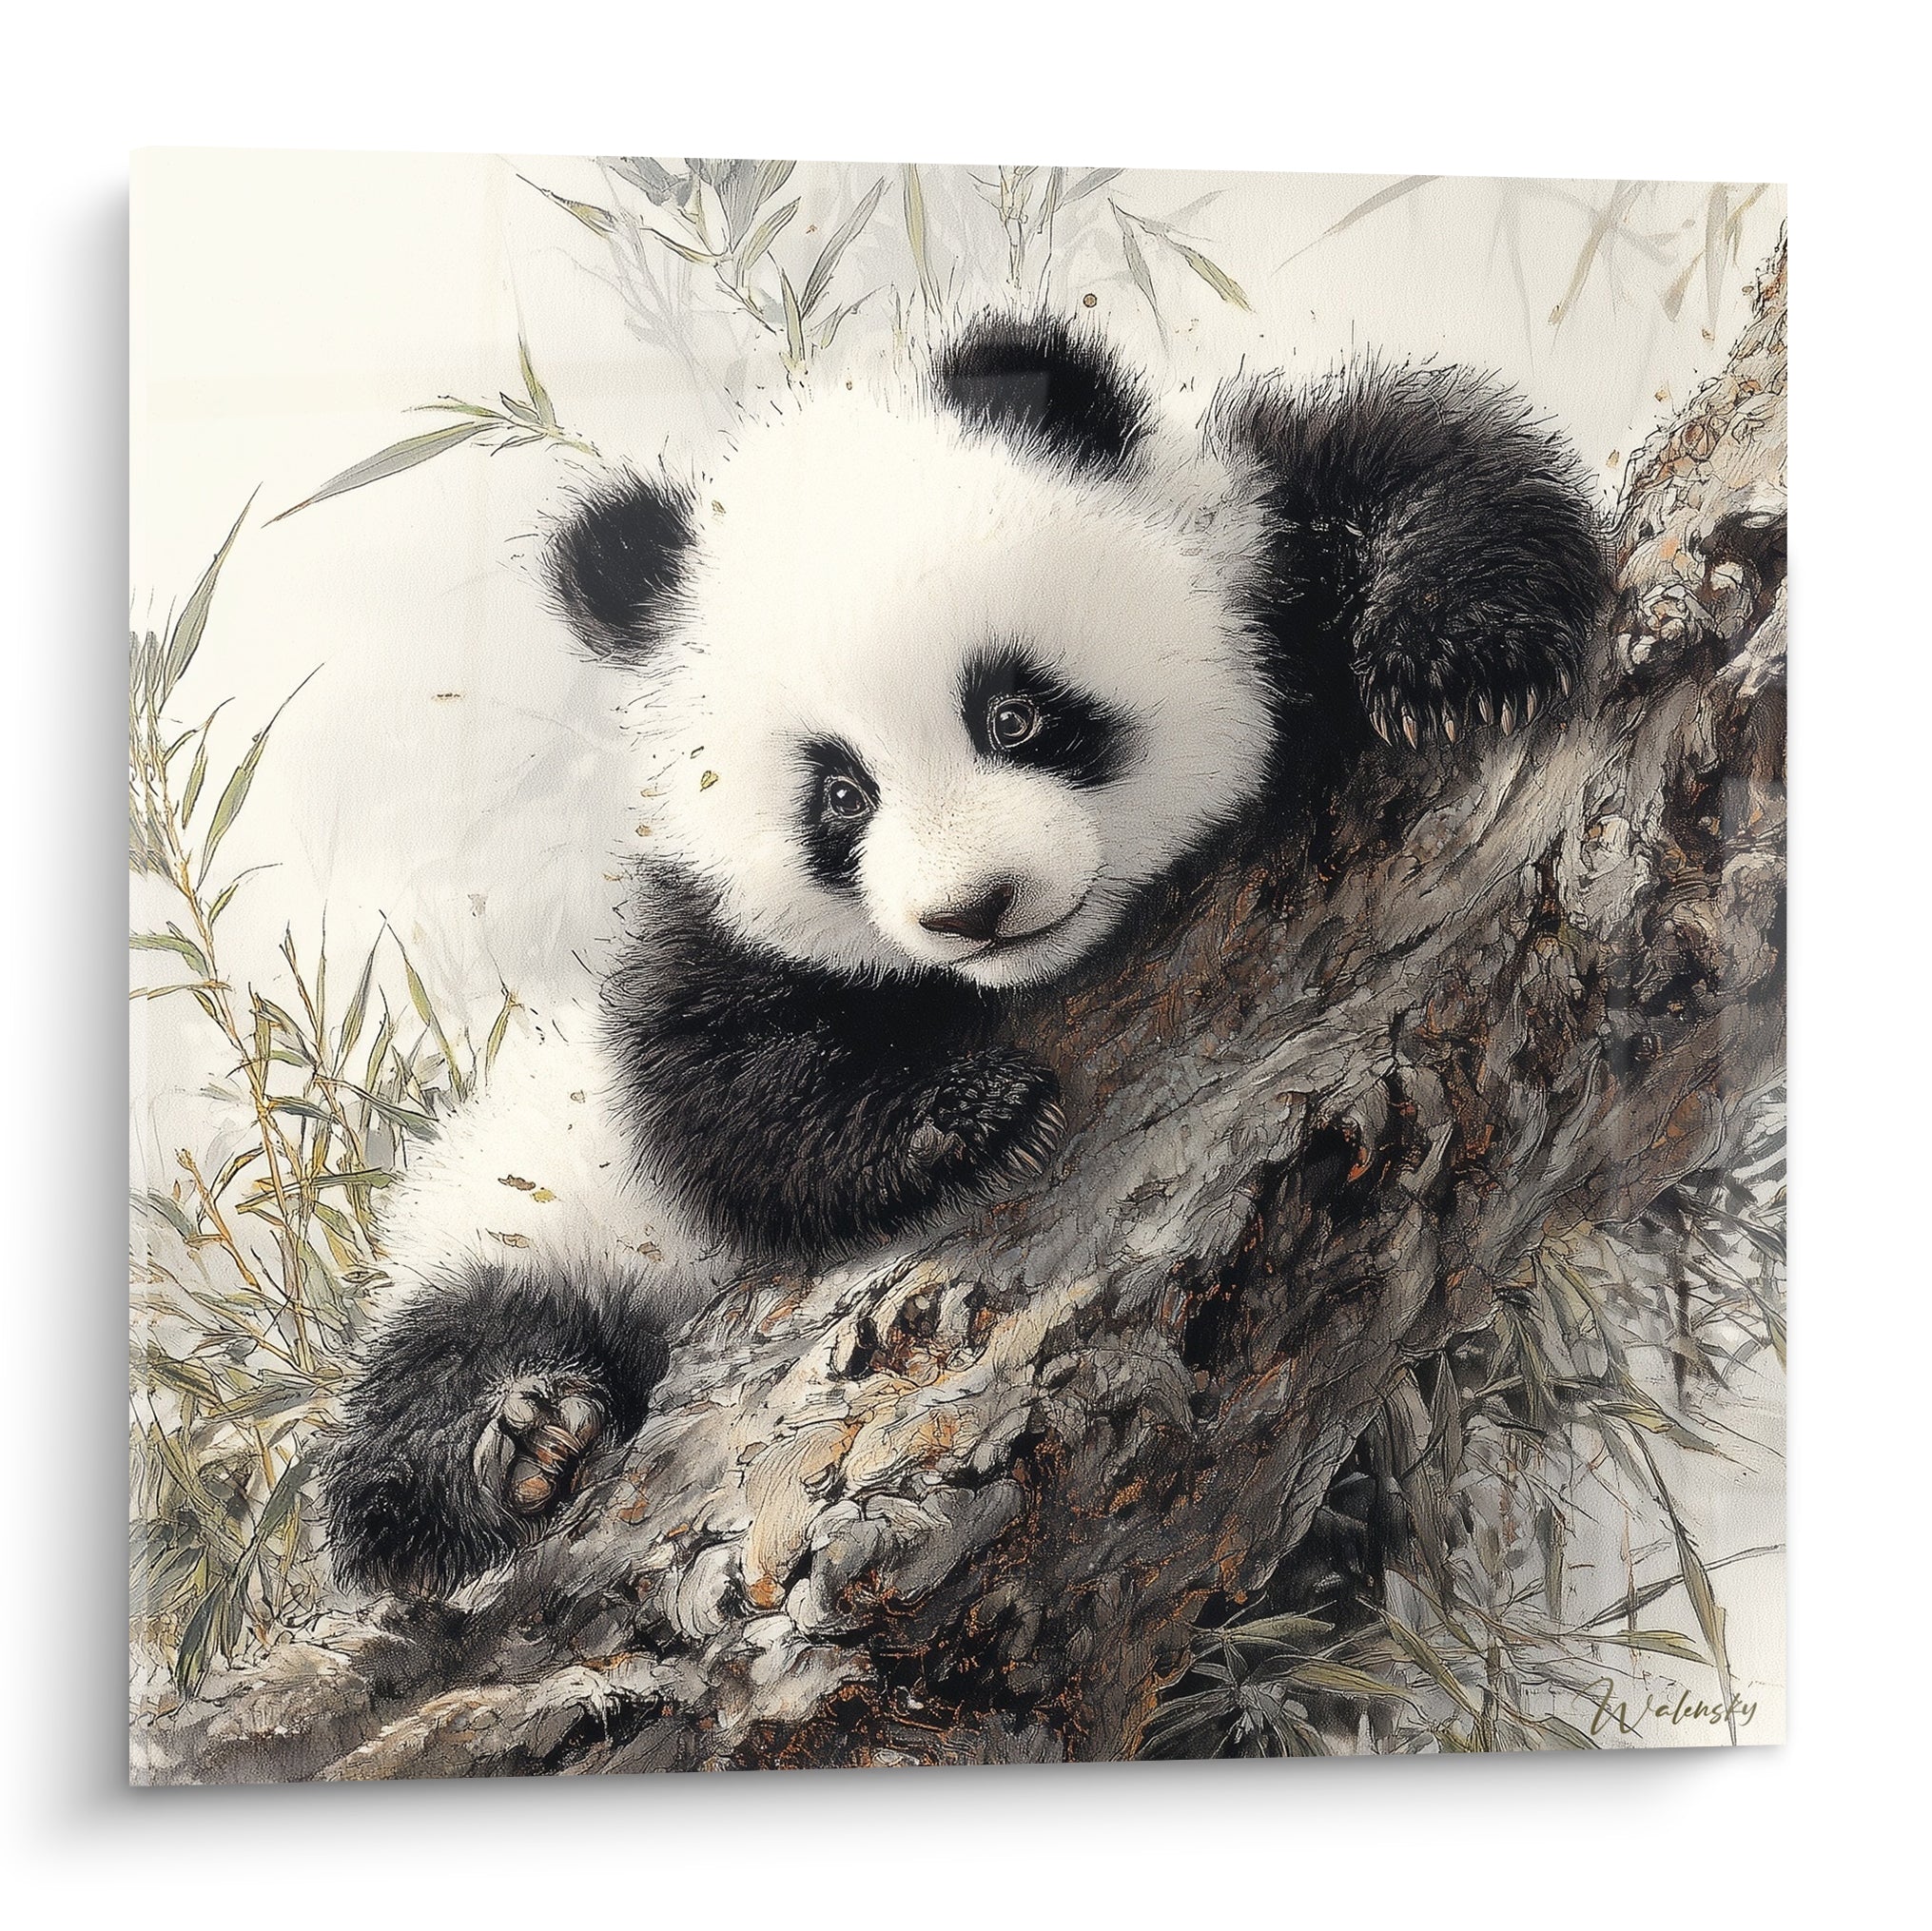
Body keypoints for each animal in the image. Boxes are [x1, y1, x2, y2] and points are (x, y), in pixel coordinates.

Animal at [320, 311, 1607, 1599]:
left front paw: (1458, 656)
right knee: (440, 1363)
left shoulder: (1246, 529)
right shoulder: (704, 937)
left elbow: (1420, 459)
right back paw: (519, 1441)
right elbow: (712, 1082)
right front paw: (970, 1112)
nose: (975, 908)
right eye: (841, 794)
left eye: (1016, 714)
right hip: (534, 1216)